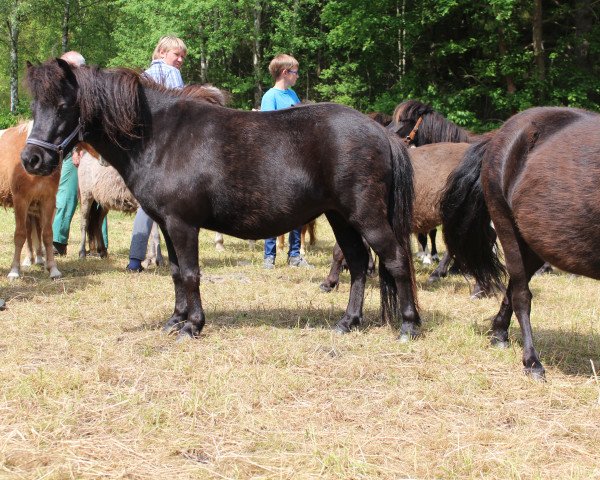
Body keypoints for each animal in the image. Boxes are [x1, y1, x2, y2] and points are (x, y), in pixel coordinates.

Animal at [0, 122, 61, 280]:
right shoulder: (21, 200)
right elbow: (20, 234)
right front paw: (14, 270)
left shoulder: (47, 200)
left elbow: (47, 234)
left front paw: (53, 269)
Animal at [21, 58, 420, 340]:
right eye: (34, 106)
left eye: (63, 105)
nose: (31, 159)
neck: (160, 136)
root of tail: (381, 133)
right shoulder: (167, 224)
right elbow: (176, 272)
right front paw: (175, 320)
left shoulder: (183, 224)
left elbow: (191, 273)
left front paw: (192, 325)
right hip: (341, 217)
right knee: (358, 263)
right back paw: (348, 321)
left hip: (366, 215)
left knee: (396, 259)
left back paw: (408, 326)